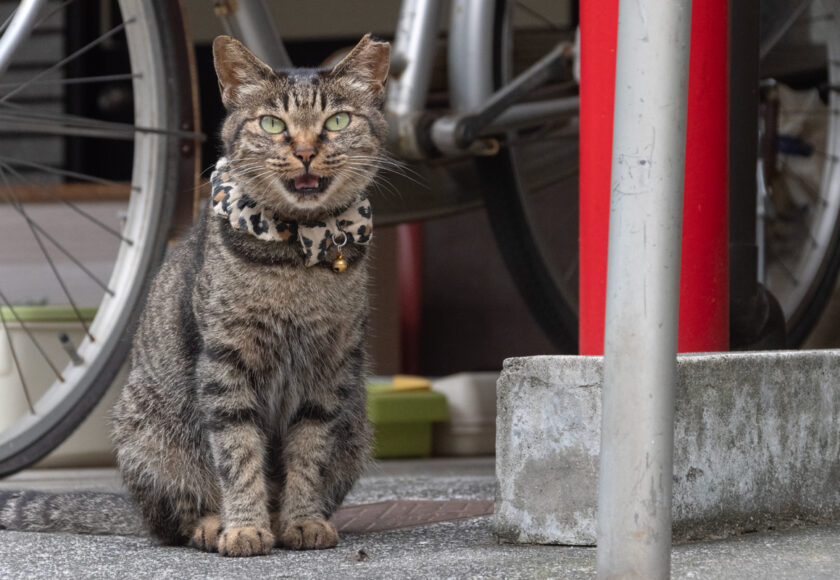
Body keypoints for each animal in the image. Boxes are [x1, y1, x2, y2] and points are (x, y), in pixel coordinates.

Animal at [109, 32, 390, 556]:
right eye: (273, 123)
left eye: (337, 121)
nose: (305, 150)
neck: (298, 256)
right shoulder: (225, 363)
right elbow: (238, 454)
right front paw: (243, 527)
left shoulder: (329, 371)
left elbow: (307, 455)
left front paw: (301, 520)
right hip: (145, 434)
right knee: (174, 519)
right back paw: (211, 525)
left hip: (358, 429)